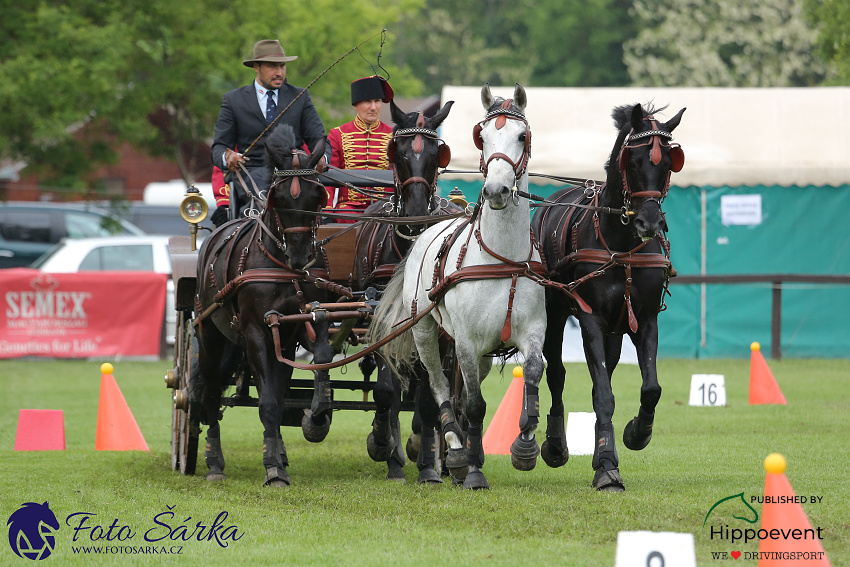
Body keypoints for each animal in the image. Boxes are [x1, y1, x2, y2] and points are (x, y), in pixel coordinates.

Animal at [192, 125, 342, 488]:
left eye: (317, 197)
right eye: (280, 198)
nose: (301, 256)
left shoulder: (302, 322)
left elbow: (320, 357)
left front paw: (318, 414)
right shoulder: (255, 331)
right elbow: (269, 402)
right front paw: (273, 469)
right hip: (210, 335)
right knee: (210, 392)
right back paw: (214, 461)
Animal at [352, 100, 458, 482]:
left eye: (437, 153)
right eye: (396, 152)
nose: (413, 218)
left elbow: (428, 398)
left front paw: (428, 464)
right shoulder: (383, 319)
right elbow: (386, 391)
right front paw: (382, 443)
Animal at [532, 103, 684, 492]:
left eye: (669, 163)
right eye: (633, 161)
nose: (649, 223)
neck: (622, 244)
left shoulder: (645, 318)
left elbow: (651, 388)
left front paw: (636, 434)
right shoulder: (590, 320)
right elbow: (602, 394)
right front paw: (606, 468)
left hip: (616, 330)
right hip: (556, 313)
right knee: (557, 374)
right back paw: (556, 445)